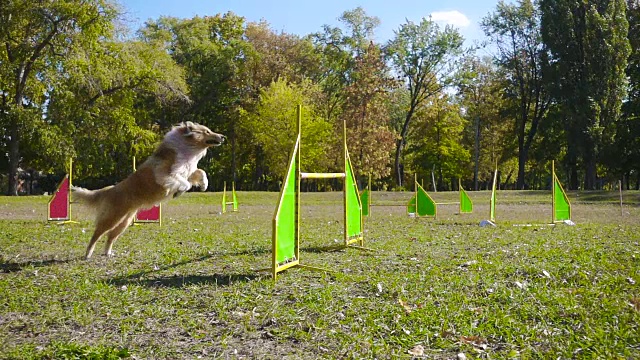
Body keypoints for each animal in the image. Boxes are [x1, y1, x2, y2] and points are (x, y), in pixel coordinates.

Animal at [72, 123, 225, 258]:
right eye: (207, 131)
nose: (223, 137)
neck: (187, 149)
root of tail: (110, 190)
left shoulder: (188, 170)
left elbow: (201, 172)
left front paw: (204, 185)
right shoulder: (166, 175)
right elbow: (185, 183)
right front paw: (178, 192)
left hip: (125, 221)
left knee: (110, 236)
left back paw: (108, 253)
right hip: (113, 217)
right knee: (97, 234)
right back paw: (88, 254)